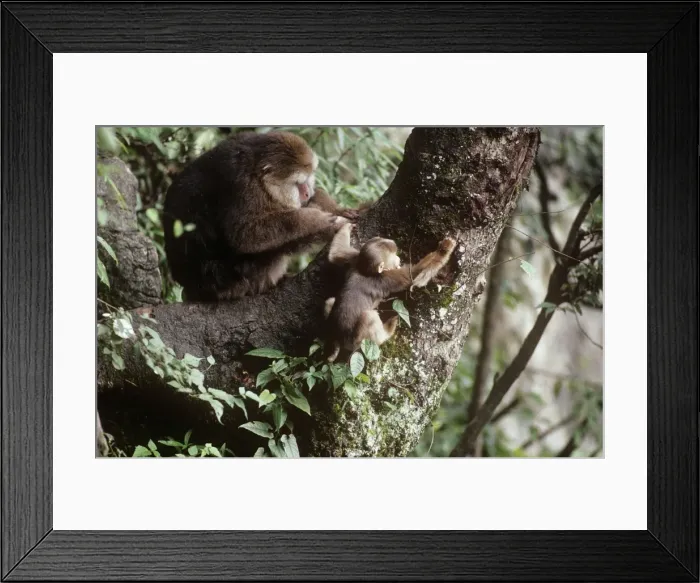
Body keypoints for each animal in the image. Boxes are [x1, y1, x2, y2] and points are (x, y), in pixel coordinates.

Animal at [163, 131, 366, 302]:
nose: (307, 192)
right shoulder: (244, 185)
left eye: (309, 177)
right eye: (298, 183)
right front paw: (320, 222)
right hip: (231, 279)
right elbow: (245, 235)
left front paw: (337, 209)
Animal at [323, 223, 457, 362]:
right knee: (368, 317)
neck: (366, 270)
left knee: (330, 301)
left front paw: (347, 226)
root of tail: (338, 339)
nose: (398, 259)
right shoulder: (387, 278)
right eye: (394, 256)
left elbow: (336, 253)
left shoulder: (355, 258)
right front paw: (445, 248)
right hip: (356, 341)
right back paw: (386, 333)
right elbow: (414, 276)